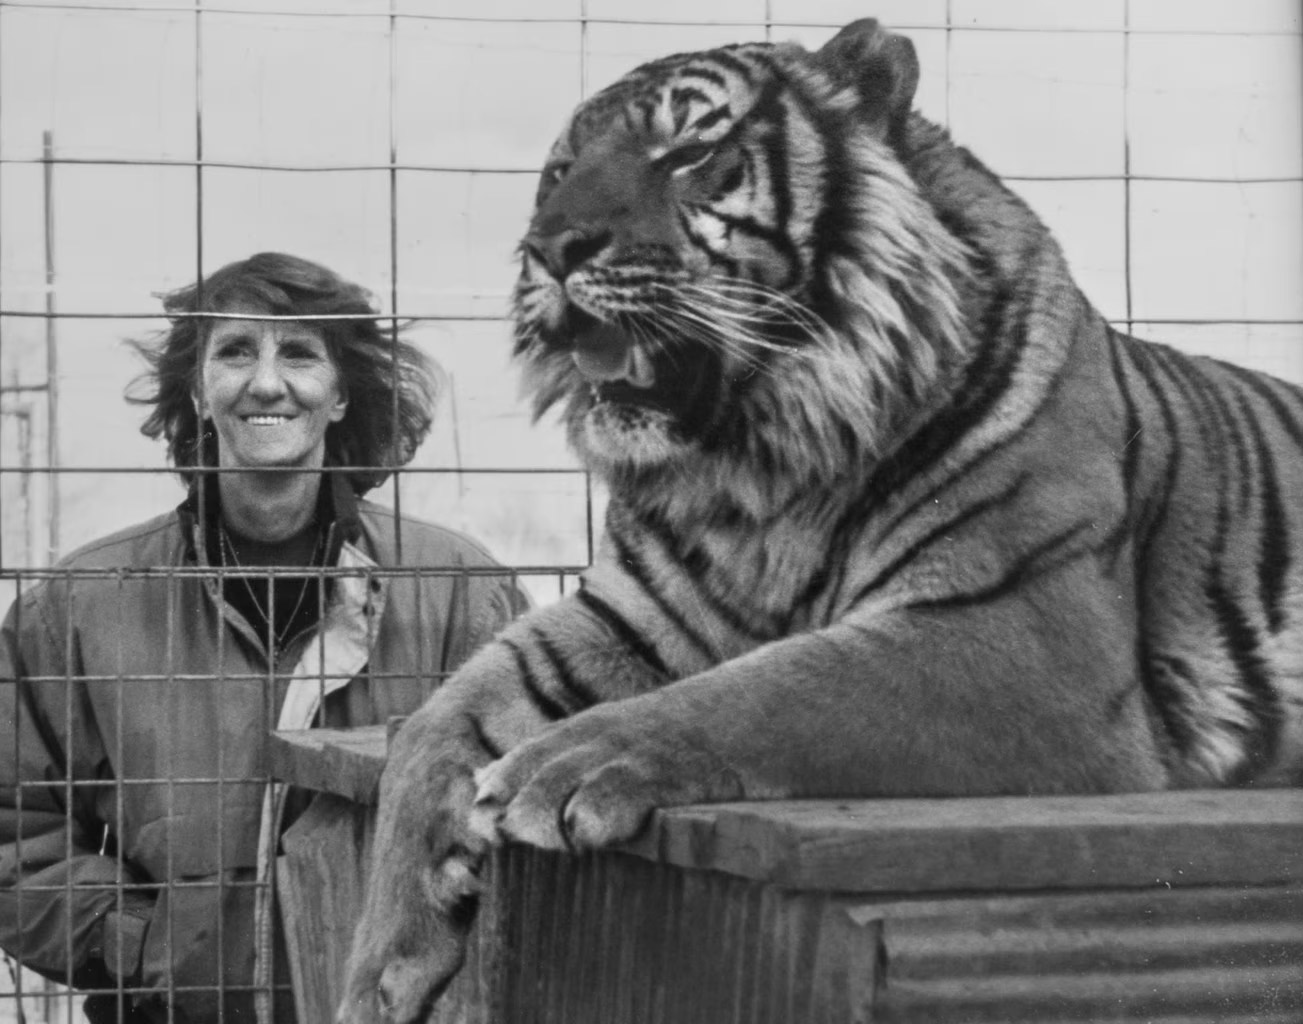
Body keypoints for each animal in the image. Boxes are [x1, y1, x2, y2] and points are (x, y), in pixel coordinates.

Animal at [341, 17, 1303, 1021]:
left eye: (688, 152)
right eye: (560, 169)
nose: (549, 246)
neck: (755, 473)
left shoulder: (1025, 636)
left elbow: (773, 688)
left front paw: (562, 765)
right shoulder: (628, 615)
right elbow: (432, 726)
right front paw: (380, 973)